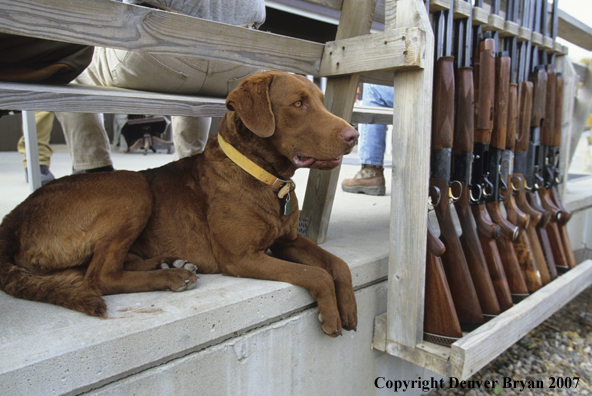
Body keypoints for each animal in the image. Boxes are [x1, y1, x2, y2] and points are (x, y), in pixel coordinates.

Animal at [0, 70, 358, 334]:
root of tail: (12, 218)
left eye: (321, 102)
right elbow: (316, 274)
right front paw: (331, 315)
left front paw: (350, 308)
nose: (353, 136)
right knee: (99, 276)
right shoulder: (241, 258)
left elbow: (338, 264)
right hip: (131, 187)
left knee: (95, 267)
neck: (264, 178)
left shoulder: (289, 240)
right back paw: (171, 276)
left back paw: (169, 263)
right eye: (298, 103)